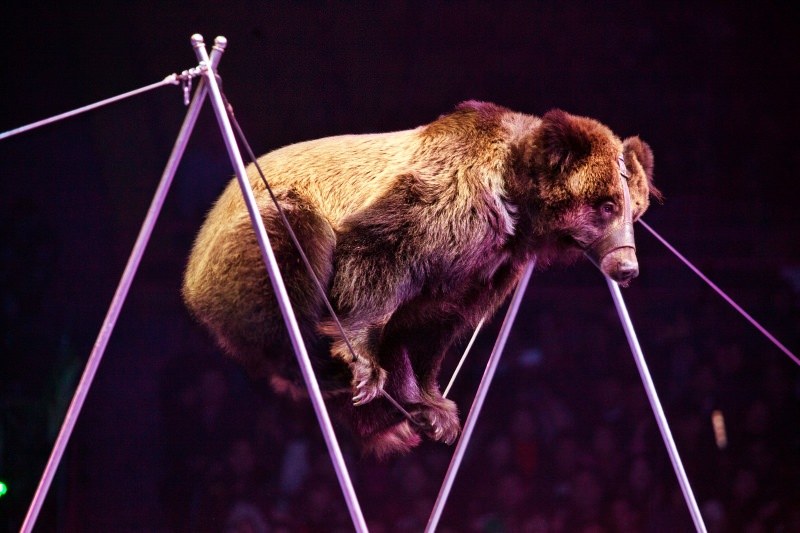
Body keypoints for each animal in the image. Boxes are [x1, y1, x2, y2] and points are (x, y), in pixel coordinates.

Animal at [182, 101, 659, 459]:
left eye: (634, 210)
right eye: (606, 206)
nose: (627, 268)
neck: (515, 208)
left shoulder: (490, 267)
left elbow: (435, 324)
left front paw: (434, 406)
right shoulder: (444, 202)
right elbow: (379, 258)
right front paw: (362, 362)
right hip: (256, 233)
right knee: (290, 258)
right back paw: (325, 374)